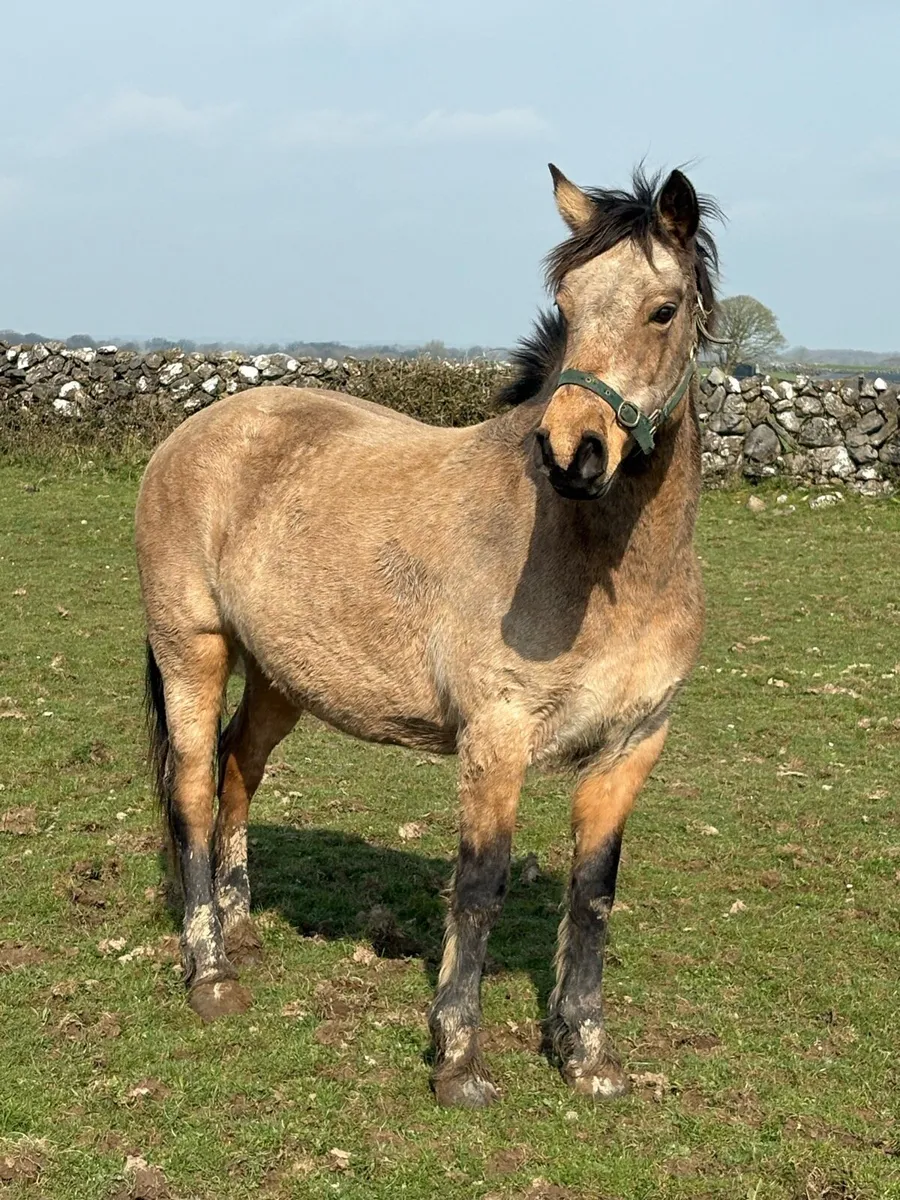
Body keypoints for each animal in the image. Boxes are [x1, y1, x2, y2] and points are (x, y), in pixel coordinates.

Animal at [137, 163, 720, 1108]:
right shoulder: (497, 736)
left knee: (236, 771)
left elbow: (593, 893)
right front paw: (457, 1059)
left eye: (662, 309)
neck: (603, 565)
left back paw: (242, 930)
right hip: (194, 650)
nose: (572, 452)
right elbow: (478, 887)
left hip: (280, 679)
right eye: (567, 302)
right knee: (191, 790)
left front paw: (586, 1054)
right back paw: (212, 975)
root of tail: (192, 431)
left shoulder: (634, 745)